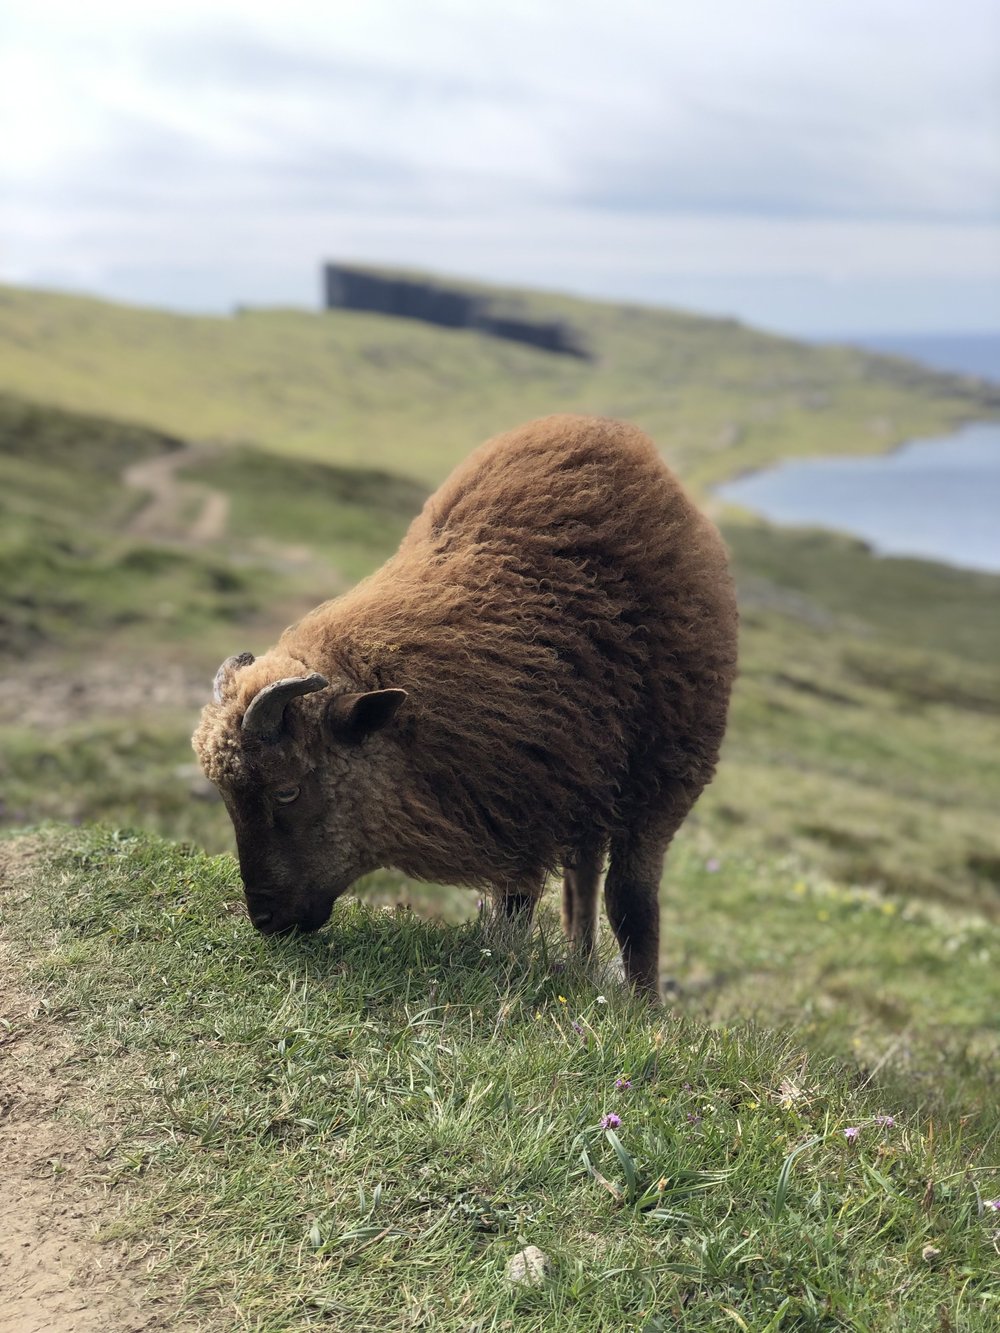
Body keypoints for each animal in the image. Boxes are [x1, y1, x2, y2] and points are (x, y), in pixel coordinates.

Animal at [193, 414, 738, 996]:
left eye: (288, 790)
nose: (265, 920)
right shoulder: (522, 788)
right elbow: (517, 897)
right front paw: (508, 958)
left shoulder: (661, 785)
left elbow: (632, 903)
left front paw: (643, 1007)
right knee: (580, 878)